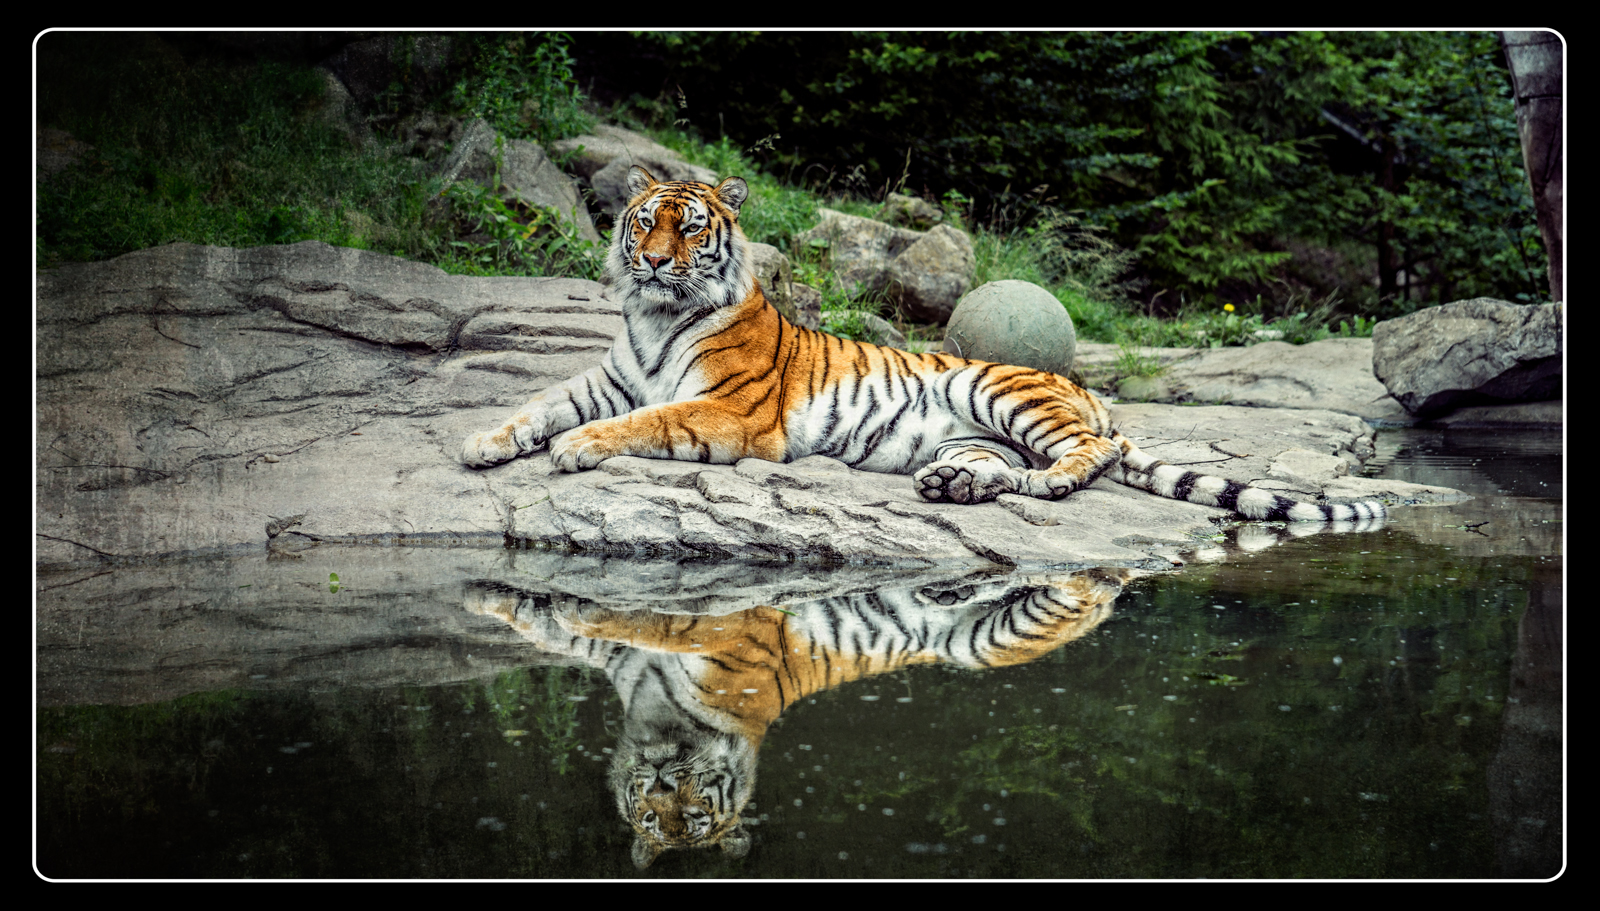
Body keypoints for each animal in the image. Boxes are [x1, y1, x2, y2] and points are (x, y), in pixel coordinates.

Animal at [460, 165, 1386, 523]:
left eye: (689, 230)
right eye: (644, 221)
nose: (652, 263)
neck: (654, 318)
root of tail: (1088, 390)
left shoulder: (730, 412)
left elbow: (640, 423)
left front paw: (576, 449)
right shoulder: (611, 378)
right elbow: (540, 402)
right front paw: (481, 442)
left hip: (1008, 393)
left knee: (1092, 454)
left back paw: (1049, 483)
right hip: (978, 430)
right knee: (1003, 463)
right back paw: (955, 483)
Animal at [465, 567, 1126, 868]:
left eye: (696, 816)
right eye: (650, 818)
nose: (656, 783)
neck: (662, 728)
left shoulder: (714, 632)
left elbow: (654, 617)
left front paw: (581, 609)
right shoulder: (624, 667)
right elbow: (559, 632)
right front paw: (497, 600)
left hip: (982, 642)